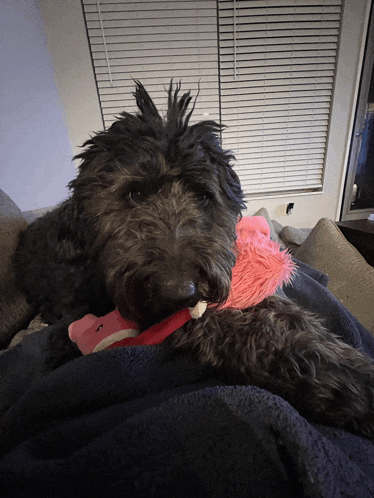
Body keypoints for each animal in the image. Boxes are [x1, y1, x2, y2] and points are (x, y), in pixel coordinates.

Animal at [13, 80, 374, 436]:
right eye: (134, 193)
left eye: (202, 196)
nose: (180, 291)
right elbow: (247, 332)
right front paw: (344, 383)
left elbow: (284, 309)